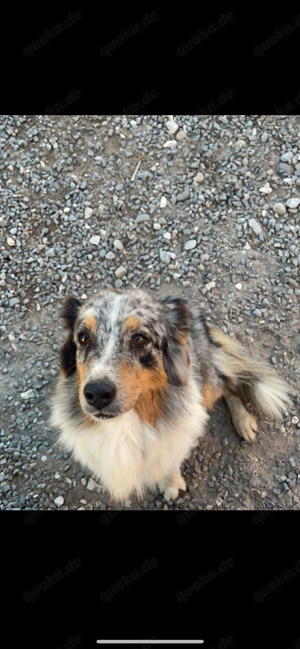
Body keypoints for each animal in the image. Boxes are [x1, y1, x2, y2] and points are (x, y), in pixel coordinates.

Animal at [50, 286, 292, 504]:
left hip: (206, 382)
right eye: (83, 338)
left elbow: (168, 461)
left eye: (139, 339)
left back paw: (244, 422)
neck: (123, 423)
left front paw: (171, 484)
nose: (97, 393)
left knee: (227, 383)